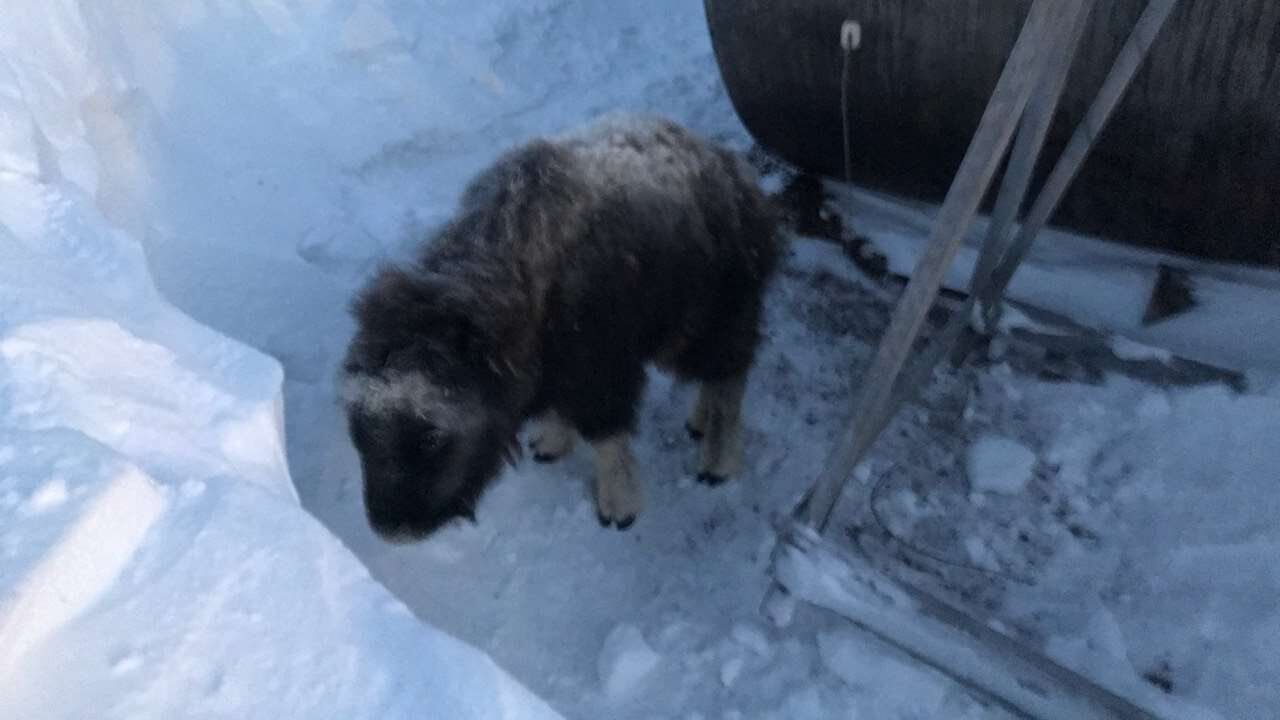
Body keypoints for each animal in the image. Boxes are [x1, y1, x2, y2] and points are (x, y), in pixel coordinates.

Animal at [340, 113, 778, 538]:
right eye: (359, 429)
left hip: (711, 315)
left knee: (729, 376)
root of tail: (732, 170)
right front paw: (551, 443)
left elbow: (606, 435)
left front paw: (618, 508)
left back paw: (717, 461)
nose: (391, 528)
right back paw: (699, 422)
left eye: (431, 436)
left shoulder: (600, 368)